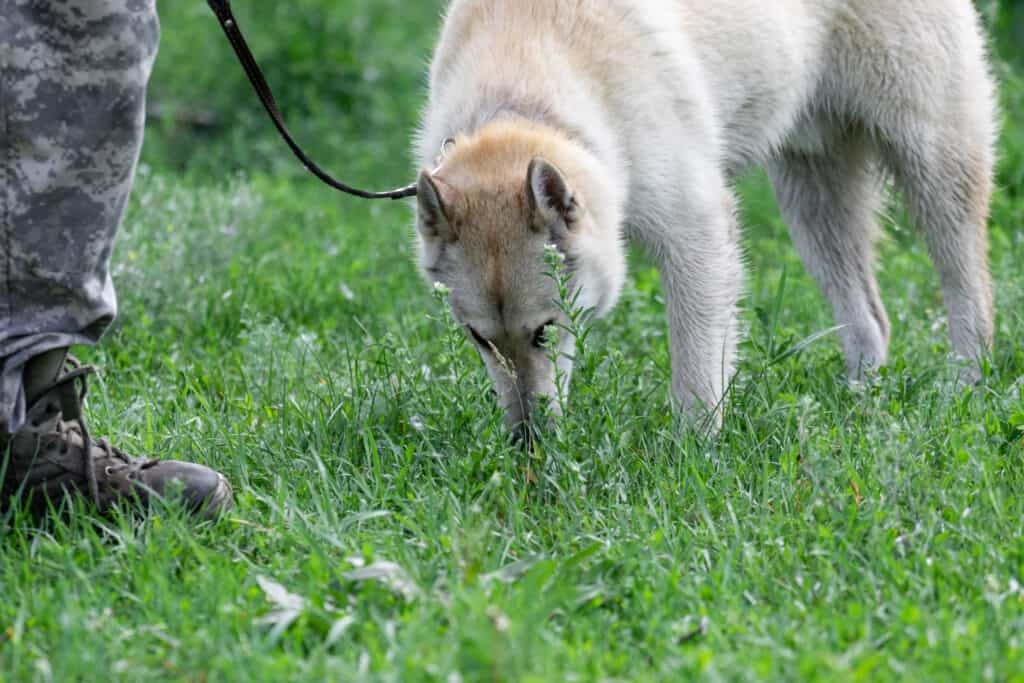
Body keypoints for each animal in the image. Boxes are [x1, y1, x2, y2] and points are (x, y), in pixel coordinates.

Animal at [411, 0, 995, 436]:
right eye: (479, 340)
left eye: (545, 333)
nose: (527, 443)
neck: (523, 94)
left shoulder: (696, 233)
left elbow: (695, 369)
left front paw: (692, 454)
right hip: (814, 204)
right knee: (870, 322)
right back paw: (861, 405)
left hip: (935, 167)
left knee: (969, 294)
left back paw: (967, 388)